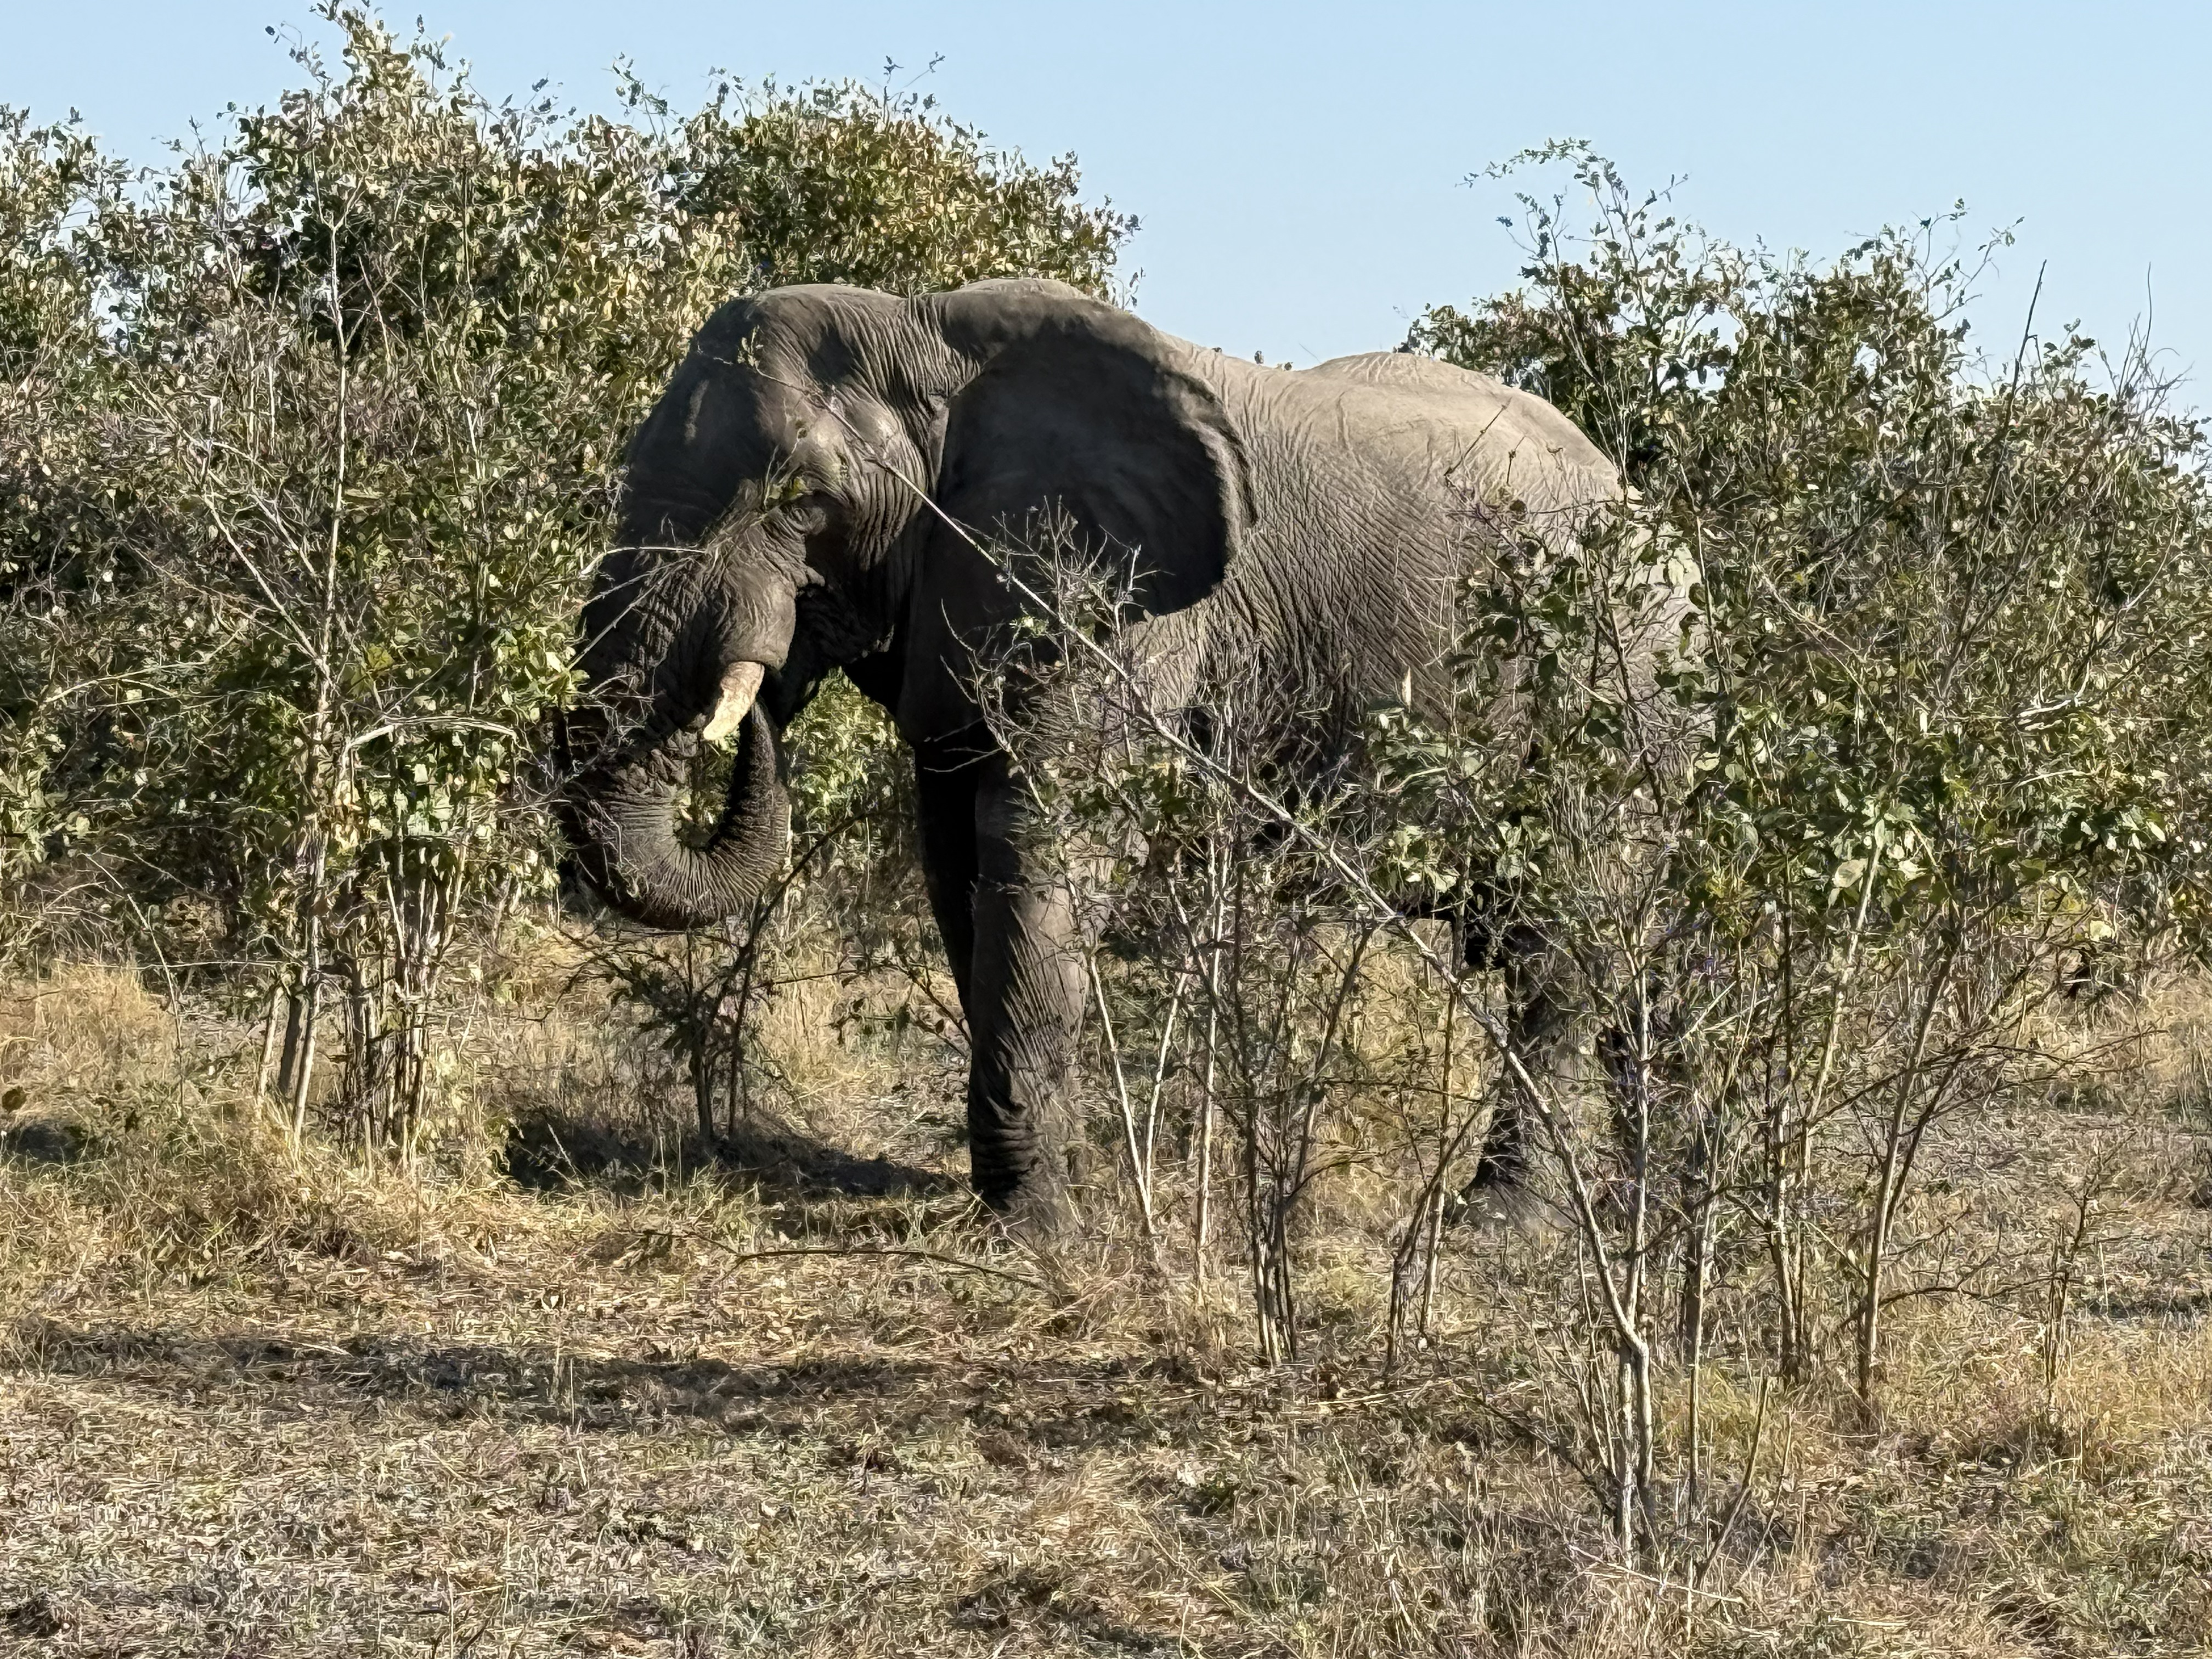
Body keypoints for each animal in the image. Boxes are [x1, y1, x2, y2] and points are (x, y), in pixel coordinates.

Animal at [559, 276, 1635, 1221]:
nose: (762, 688)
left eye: (799, 496)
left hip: (1613, 692)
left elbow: (1049, 841)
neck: (928, 334)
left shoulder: (1118, 601)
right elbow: (958, 861)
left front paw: (1037, 1224)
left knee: (1562, 949)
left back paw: (1501, 1221)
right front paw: (1038, 1187)